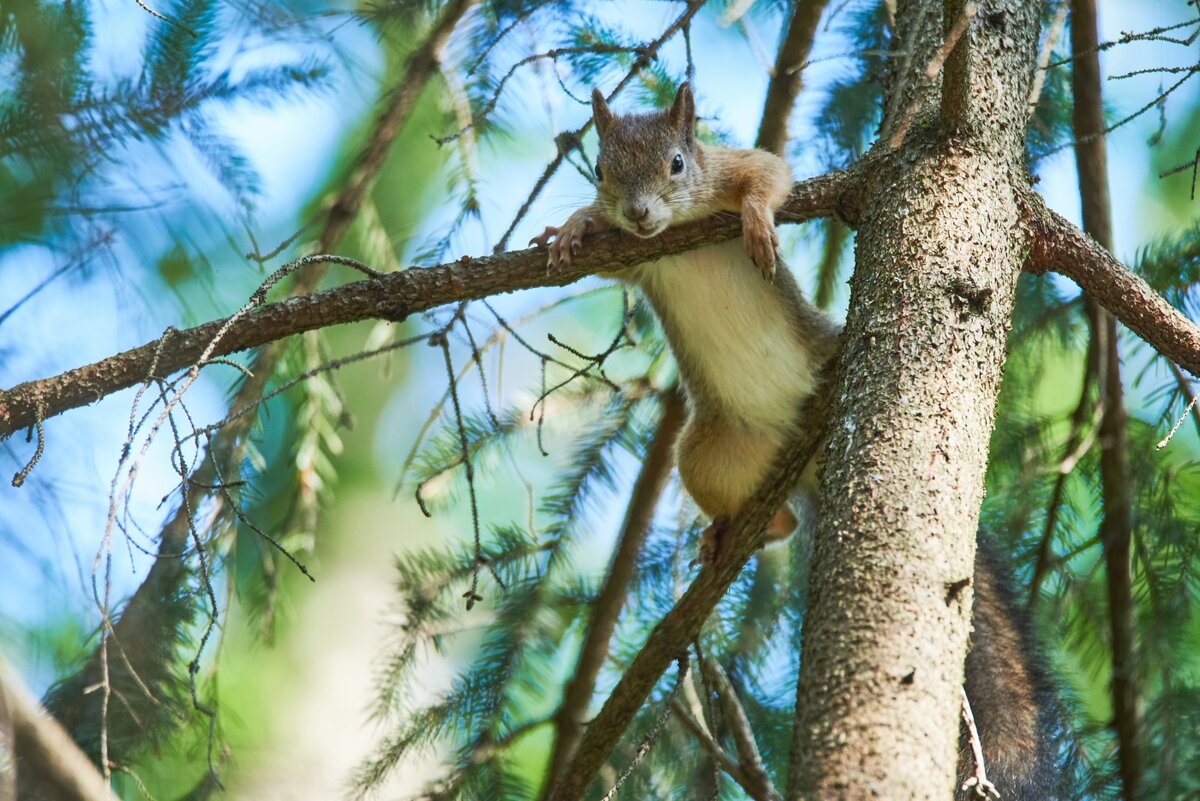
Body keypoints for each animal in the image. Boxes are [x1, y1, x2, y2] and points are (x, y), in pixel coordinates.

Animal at [535, 82, 1060, 801]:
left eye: (678, 163)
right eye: (599, 170)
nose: (638, 214)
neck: (673, 236)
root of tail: (809, 462)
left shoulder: (725, 170)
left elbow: (767, 172)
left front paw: (758, 220)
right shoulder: (639, 262)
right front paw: (574, 227)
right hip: (705, 450)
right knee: (771, 518)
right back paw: (729, 531)